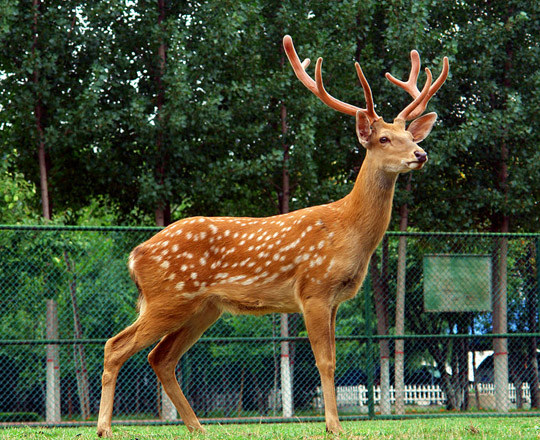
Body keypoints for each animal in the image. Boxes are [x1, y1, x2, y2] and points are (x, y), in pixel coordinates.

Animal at [96, 35, 448, 436]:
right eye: (385, 138)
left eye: (409, 135)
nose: (420, 153)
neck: (348, 231)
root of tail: (135, 255)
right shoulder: (314, 289)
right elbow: (325, 361)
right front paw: (334, 426)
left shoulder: (335, 299)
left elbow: (332, 359)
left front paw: (335, 424)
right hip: (168, 297)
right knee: (116, 345)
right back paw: (105, 427)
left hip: (203, 307)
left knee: (161, 357)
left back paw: (198, 427)